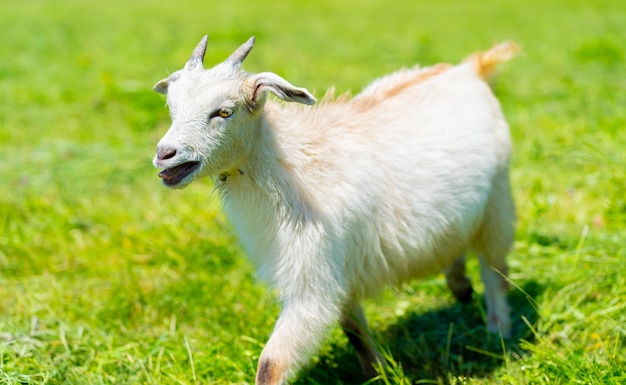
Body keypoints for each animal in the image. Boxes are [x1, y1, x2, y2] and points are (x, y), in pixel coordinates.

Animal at [152, 36, 516, 384]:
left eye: (224, 112)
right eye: (172, 108)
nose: (164, 154)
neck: (294, 166)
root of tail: (470, 70)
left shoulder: (314, 279)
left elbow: (271, 364)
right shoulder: (338, 273)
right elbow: (354, 331)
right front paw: (376, 373)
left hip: (497, 205)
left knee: (495, 273)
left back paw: (497, 334)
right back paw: (461, 287)